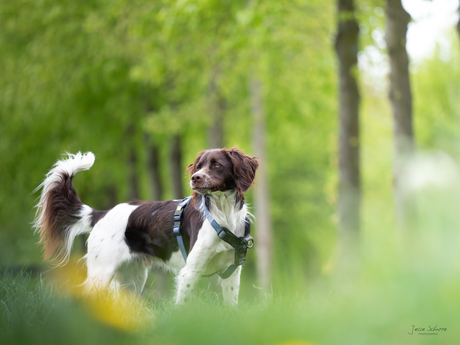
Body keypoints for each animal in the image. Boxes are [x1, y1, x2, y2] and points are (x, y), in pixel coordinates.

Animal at [34, 147, 258, 304]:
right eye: (198, 166)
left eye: (217, 165)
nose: (195, 178)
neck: (224, 216)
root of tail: (101, 214)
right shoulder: (189, 272)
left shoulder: (231, 272)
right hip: (102, 273)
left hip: (132, 277)